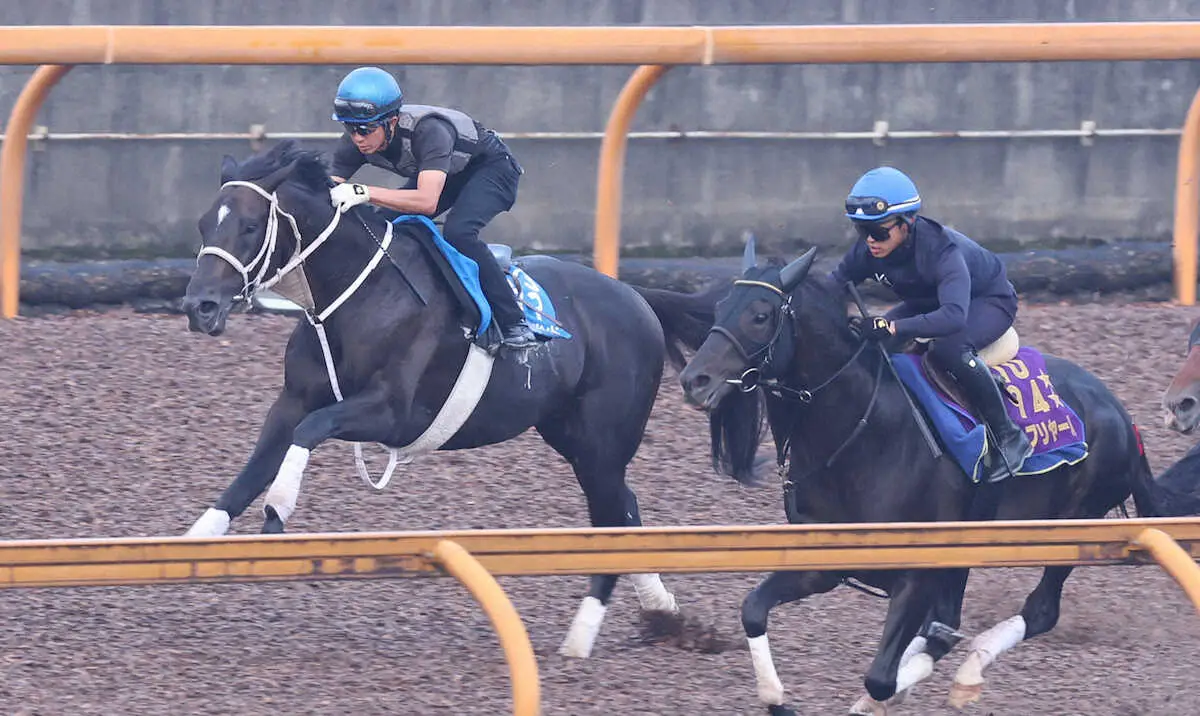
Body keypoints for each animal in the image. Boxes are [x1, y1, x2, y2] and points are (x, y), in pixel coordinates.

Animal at [176, 139, 720, 657]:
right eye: (204, 224)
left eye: (249, 226)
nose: (199, 306)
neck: (361, 293)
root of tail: (637, 296)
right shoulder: (292, 400)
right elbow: (250, 473)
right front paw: (190, 545)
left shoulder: (394, 414)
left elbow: (309, 433)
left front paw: (278, 508)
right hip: (573, 436)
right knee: (624, 507)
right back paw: (659, 607)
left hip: (602, 443)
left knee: (610, 514)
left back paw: (582, 637)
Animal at [676, 241, 1200, 714]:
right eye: (718, 306)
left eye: (761, 314)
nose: (694, 380)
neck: (860, 432)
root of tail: (1123, 416)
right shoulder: (826, 561)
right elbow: (753, 610)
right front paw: (778, 697)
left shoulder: (917, 568)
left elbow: (881, 676)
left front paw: (883, 693)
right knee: (951, 623)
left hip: (1075, 526)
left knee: (1039, 611)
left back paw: (968, 673)